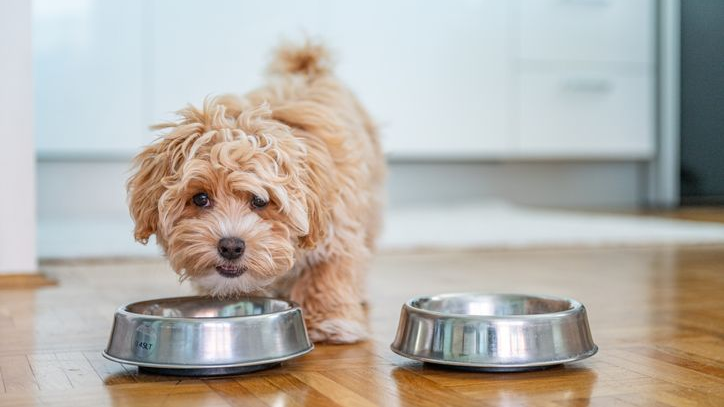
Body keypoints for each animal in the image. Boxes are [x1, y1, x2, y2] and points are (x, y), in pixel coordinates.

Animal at [126, 40, 384, 344]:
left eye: (260, 201)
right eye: (200, 198)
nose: (231, 247)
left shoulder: (337, 229)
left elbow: (327, 271)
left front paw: (328, 320)